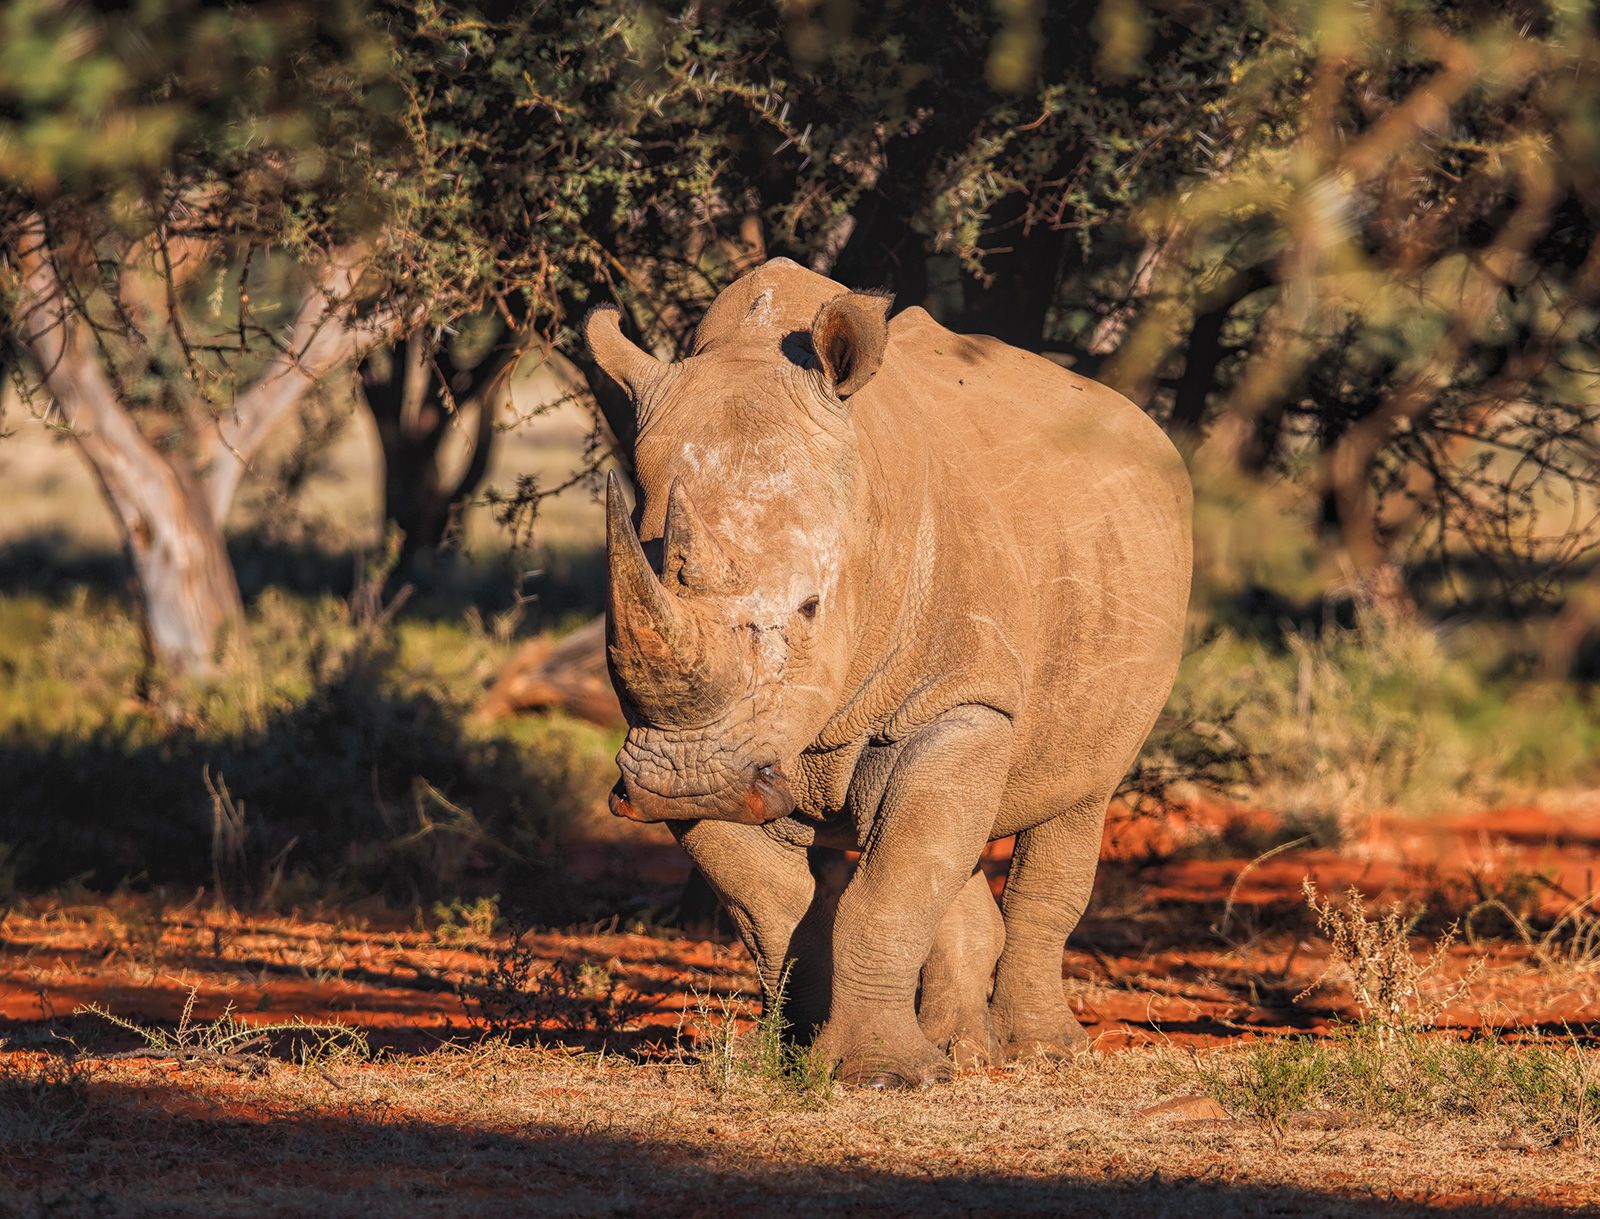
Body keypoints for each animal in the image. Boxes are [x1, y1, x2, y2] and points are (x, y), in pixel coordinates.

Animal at [588, 258, 1190, 1087]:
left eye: (812, 606)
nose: (691, 781)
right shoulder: (691, 737)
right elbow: (778, 902)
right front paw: (796, 1056)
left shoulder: (959, 700)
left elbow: (887, 892)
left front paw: (879, 1073)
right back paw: (961, 1049)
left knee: (1080, 795)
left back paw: (1039, 1052)